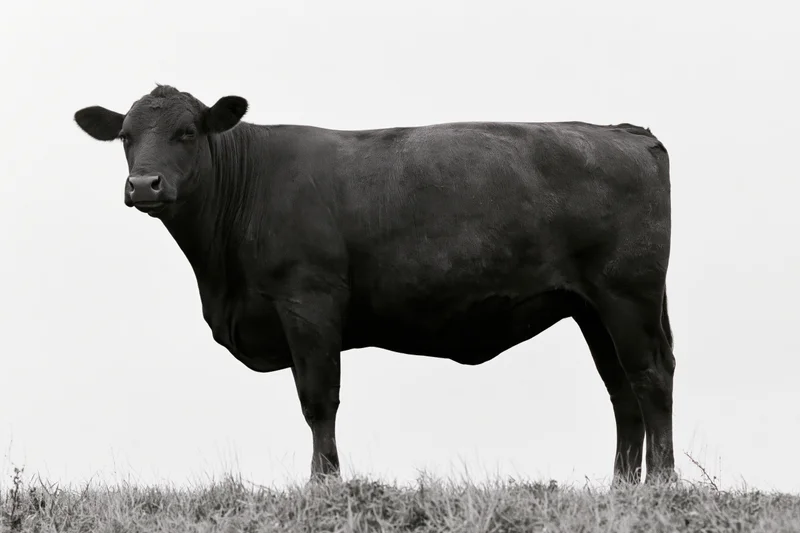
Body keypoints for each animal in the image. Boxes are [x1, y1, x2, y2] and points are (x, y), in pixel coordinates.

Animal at [73, 85, 676, 485]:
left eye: (187, 132)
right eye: (125, 136)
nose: (144, 184)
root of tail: (623, 133)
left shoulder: (308, 301)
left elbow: (318, 399)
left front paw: (323, 486)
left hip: (627, 293)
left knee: (650, 377)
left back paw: (662, 485)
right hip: (591, 306)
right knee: (620, 388)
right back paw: (621, 490)